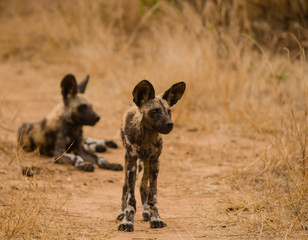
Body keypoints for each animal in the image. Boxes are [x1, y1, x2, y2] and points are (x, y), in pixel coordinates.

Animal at [116, 79, 185, 232]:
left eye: (169, 111)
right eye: (155, 111)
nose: (170, 124)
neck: (146, 137)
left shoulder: (154, 161)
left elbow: (152, 195)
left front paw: (156, 219)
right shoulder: (132, 161)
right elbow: (130, 198)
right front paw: (127, 221)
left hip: (145, 164)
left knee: (143, 187)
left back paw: (146, 212)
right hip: (133, 165)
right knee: (125, 187)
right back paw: (122, 212)